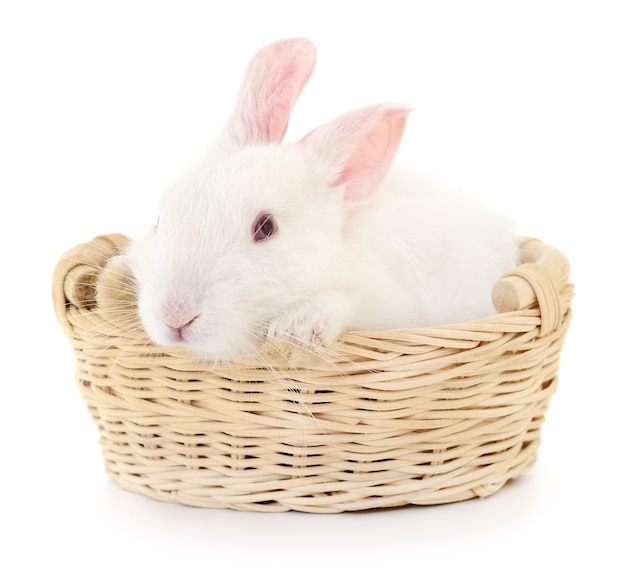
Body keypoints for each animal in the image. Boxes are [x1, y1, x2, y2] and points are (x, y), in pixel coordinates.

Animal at [122, 36, 516, 362]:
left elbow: (347, 303)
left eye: (266, 228)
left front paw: (296, 327)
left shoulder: (391, 308)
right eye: (159, 220)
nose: (175, 316)